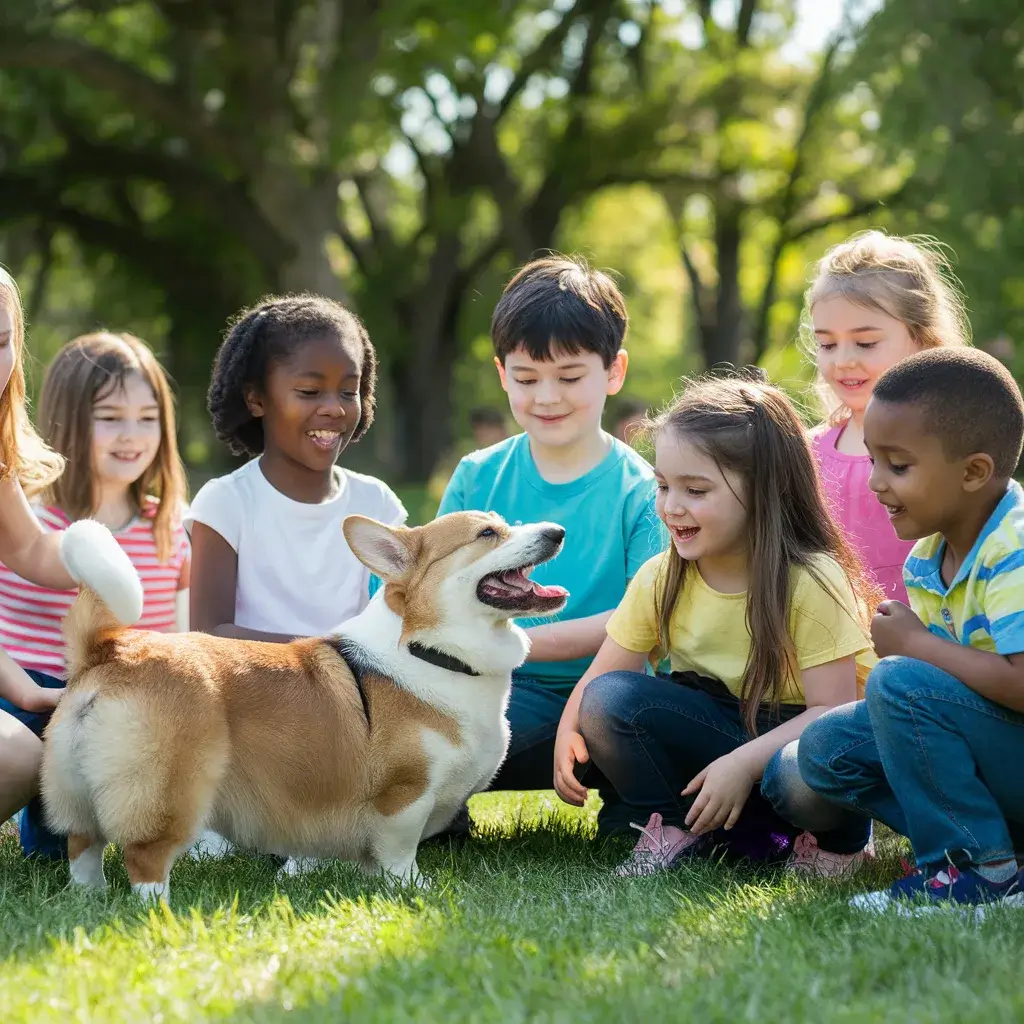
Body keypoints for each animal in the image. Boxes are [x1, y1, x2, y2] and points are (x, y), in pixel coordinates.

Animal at [41, 509, 569, 897]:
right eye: (487, 533)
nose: (558, 531)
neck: (430, 651)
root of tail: (109, 648)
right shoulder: (404, 797)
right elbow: (400, 855)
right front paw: (415, 889)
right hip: (168, 792)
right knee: (145, 858)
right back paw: (159, 914)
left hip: (77, 789)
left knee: (82, 847)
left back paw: (90, 900)